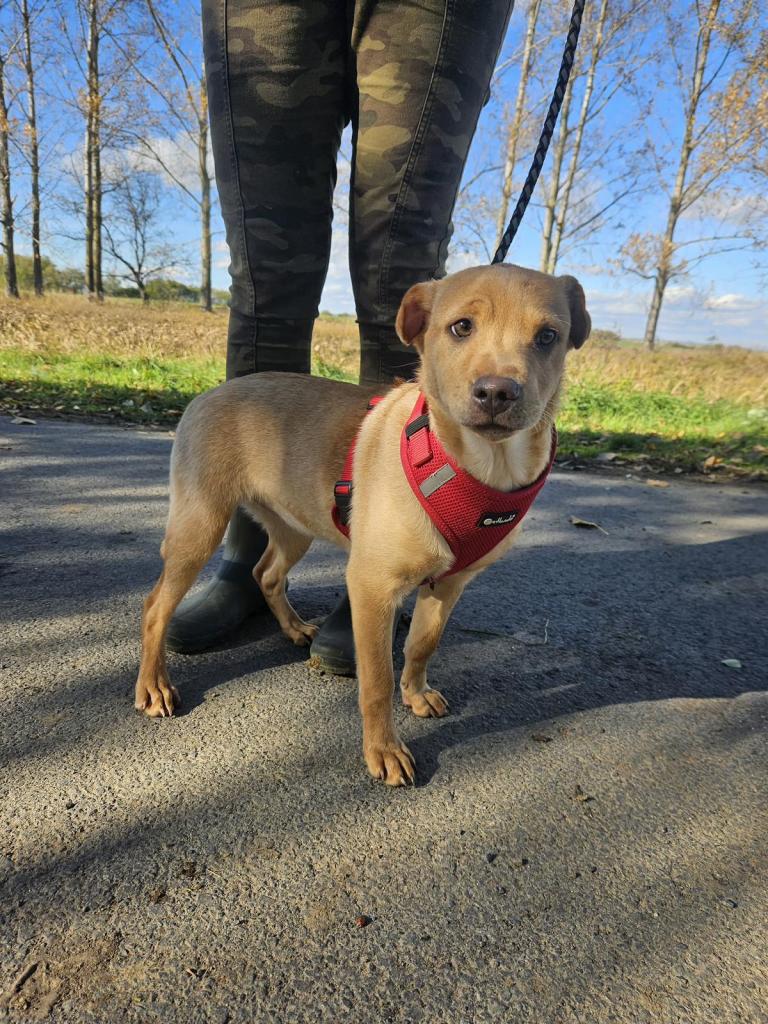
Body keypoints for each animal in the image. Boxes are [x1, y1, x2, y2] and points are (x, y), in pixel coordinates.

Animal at [135, 264, 590, 785]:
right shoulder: (372, 587)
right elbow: (376, 680)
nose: (497, 391)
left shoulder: (449, 583)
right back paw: (153, 685)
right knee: (156, 606)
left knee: (266, 573)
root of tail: (210, 393)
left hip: (294, 526)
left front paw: (416, 693)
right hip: (200, 524)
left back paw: (294, 628)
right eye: (461, 327)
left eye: (548, 336)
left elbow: (422, 643)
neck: (478, 466)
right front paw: (384, 750)